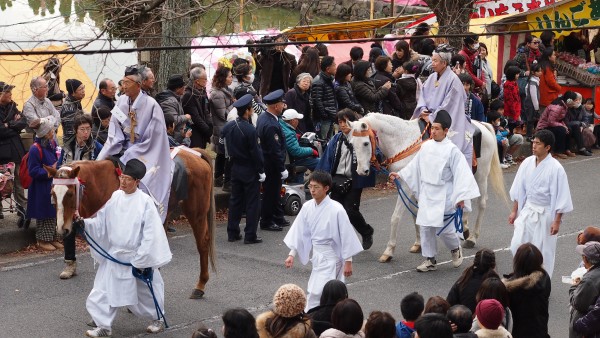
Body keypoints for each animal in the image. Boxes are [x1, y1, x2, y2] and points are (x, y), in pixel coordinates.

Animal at [46, 149, 216, 298]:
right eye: (52, 193)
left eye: (70, 193)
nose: (62, 229)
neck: (102, 184)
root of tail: (196, 154)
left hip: (197, 212)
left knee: (203, 243)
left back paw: (200, 285)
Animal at [346, 113, 506, 262]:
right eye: (352, 143)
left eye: (365, 143)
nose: (361, 171)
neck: (402, 141)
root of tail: (482, 124)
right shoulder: (410, 185)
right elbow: (415, 213)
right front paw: (419, 243)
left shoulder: (405, 184)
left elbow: (396, 217)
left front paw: (389, 251)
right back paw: (465, 229)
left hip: (481, 173)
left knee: (482, 202)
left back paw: (472, 238)